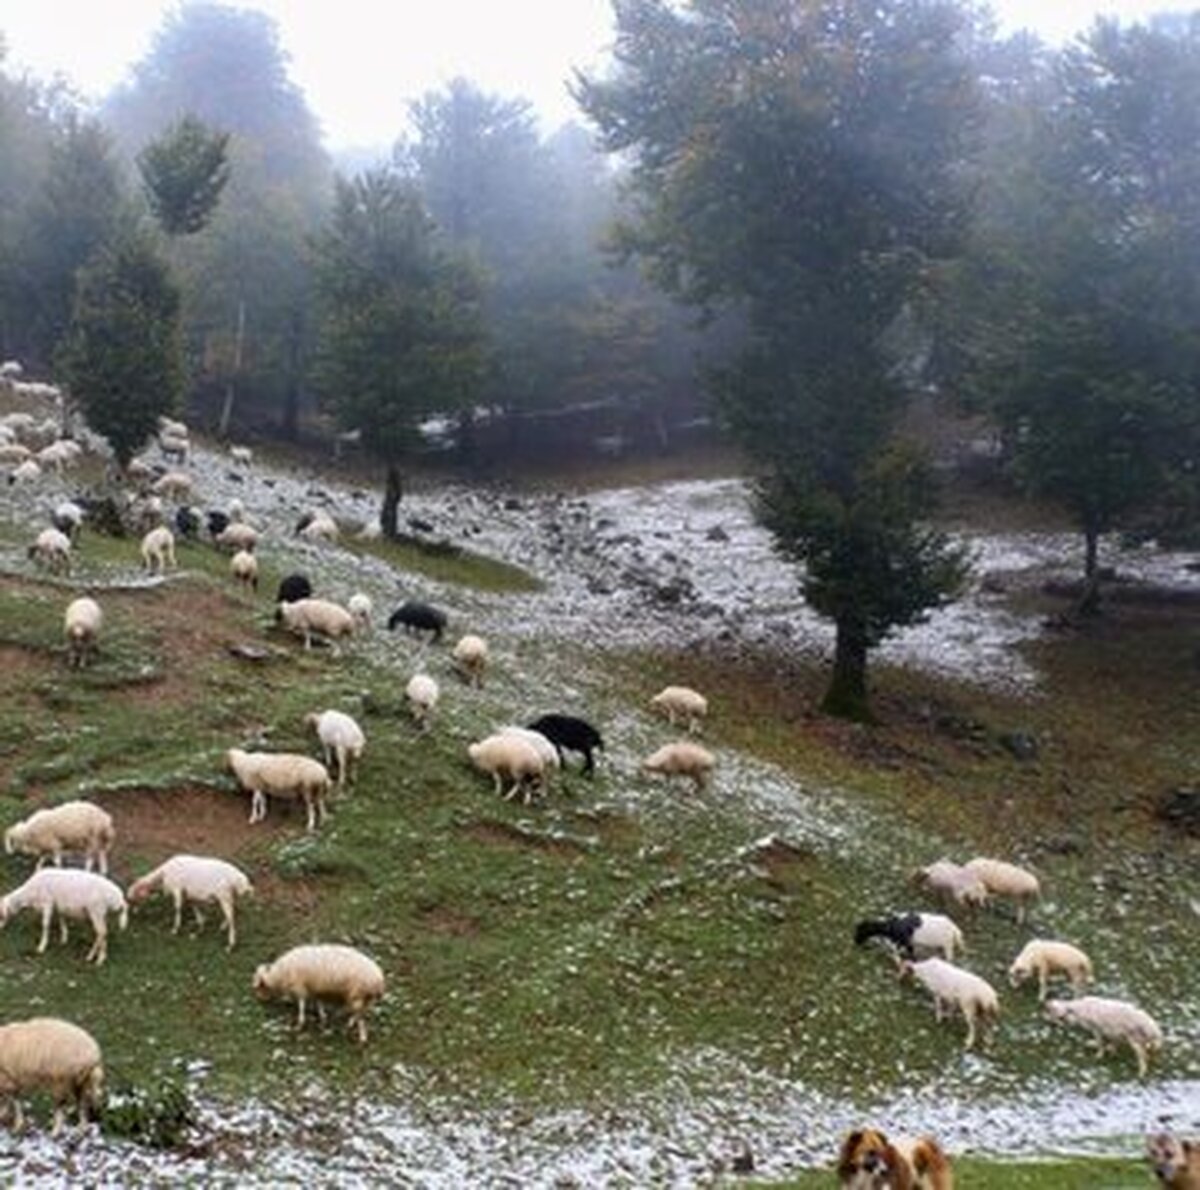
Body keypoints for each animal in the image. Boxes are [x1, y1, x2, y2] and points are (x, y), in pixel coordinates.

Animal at [0, 863, 129, 969]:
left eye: (1, 915)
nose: (0, 929)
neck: (29, 895)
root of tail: (119, 899)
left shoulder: (47, 903)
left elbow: (45, 924)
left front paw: (41, 947)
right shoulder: (58, 906)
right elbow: (62, 920)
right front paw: (64, 939)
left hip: (97, 910)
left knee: (102, 933)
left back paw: (99, 959)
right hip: (101, 914)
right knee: (100, 934)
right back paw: (90, 956)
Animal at [253, 945, 384, 1046]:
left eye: (260, 986)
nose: (260, 999)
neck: (279, 974)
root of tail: (378, 978)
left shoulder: (300, 987)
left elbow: (302, 1005)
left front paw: (300, 1023)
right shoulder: (315, 989)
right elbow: (318, 1002)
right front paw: (322, 1016)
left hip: (358, 994)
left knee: (360, 1016)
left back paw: (362, 1037)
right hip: (366, 998)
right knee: (360, 1013)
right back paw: (350, 1024)